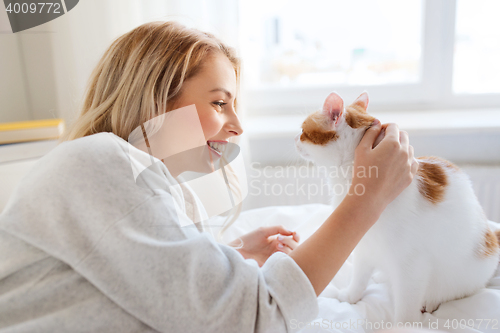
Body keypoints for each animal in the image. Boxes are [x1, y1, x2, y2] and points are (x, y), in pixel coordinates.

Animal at [292, 90, 500, 322]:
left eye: (303, 131)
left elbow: (405, 312)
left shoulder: (412, 266)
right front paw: (351, 295)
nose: (294, 139)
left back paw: (432, 300)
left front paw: (403, 324)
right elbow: (359, 277)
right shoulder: (363, 246)